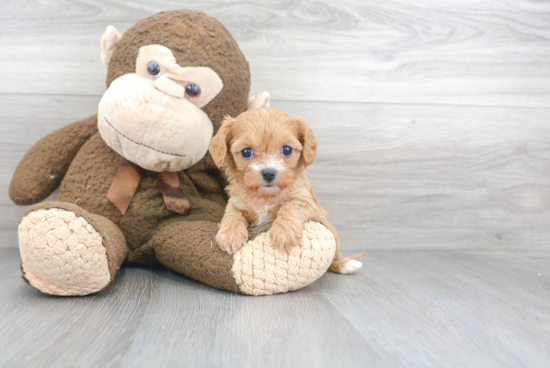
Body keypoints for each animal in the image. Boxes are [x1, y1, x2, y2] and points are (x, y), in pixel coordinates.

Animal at [210, 106, 366, 274]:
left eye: (286, 150)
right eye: (246, 152)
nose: (269, 173)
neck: (265, 197)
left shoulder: (307, 202)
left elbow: (291, 206)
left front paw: (284, 233)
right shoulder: (236, 202)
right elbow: (231, 214)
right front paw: (229, 235)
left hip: (331, 230)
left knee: (334, 256)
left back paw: (346, 265)